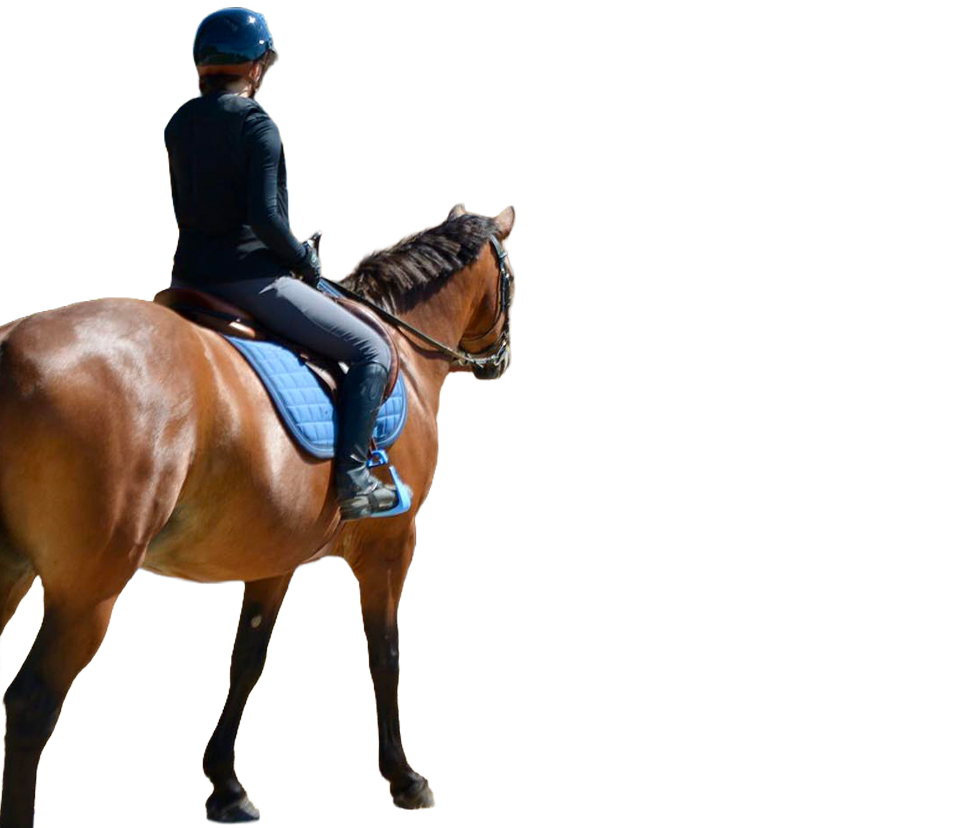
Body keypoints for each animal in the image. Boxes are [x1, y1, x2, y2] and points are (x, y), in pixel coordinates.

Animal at [0, 203, 515, 827]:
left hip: (14, 571)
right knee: (31, 705)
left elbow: (247, 659)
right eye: (512, 272)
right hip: (86, 591)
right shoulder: (391, 545)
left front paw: (225, 784)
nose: (498, 362)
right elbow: (385, 654)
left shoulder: (275, 557)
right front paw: (403, 776)